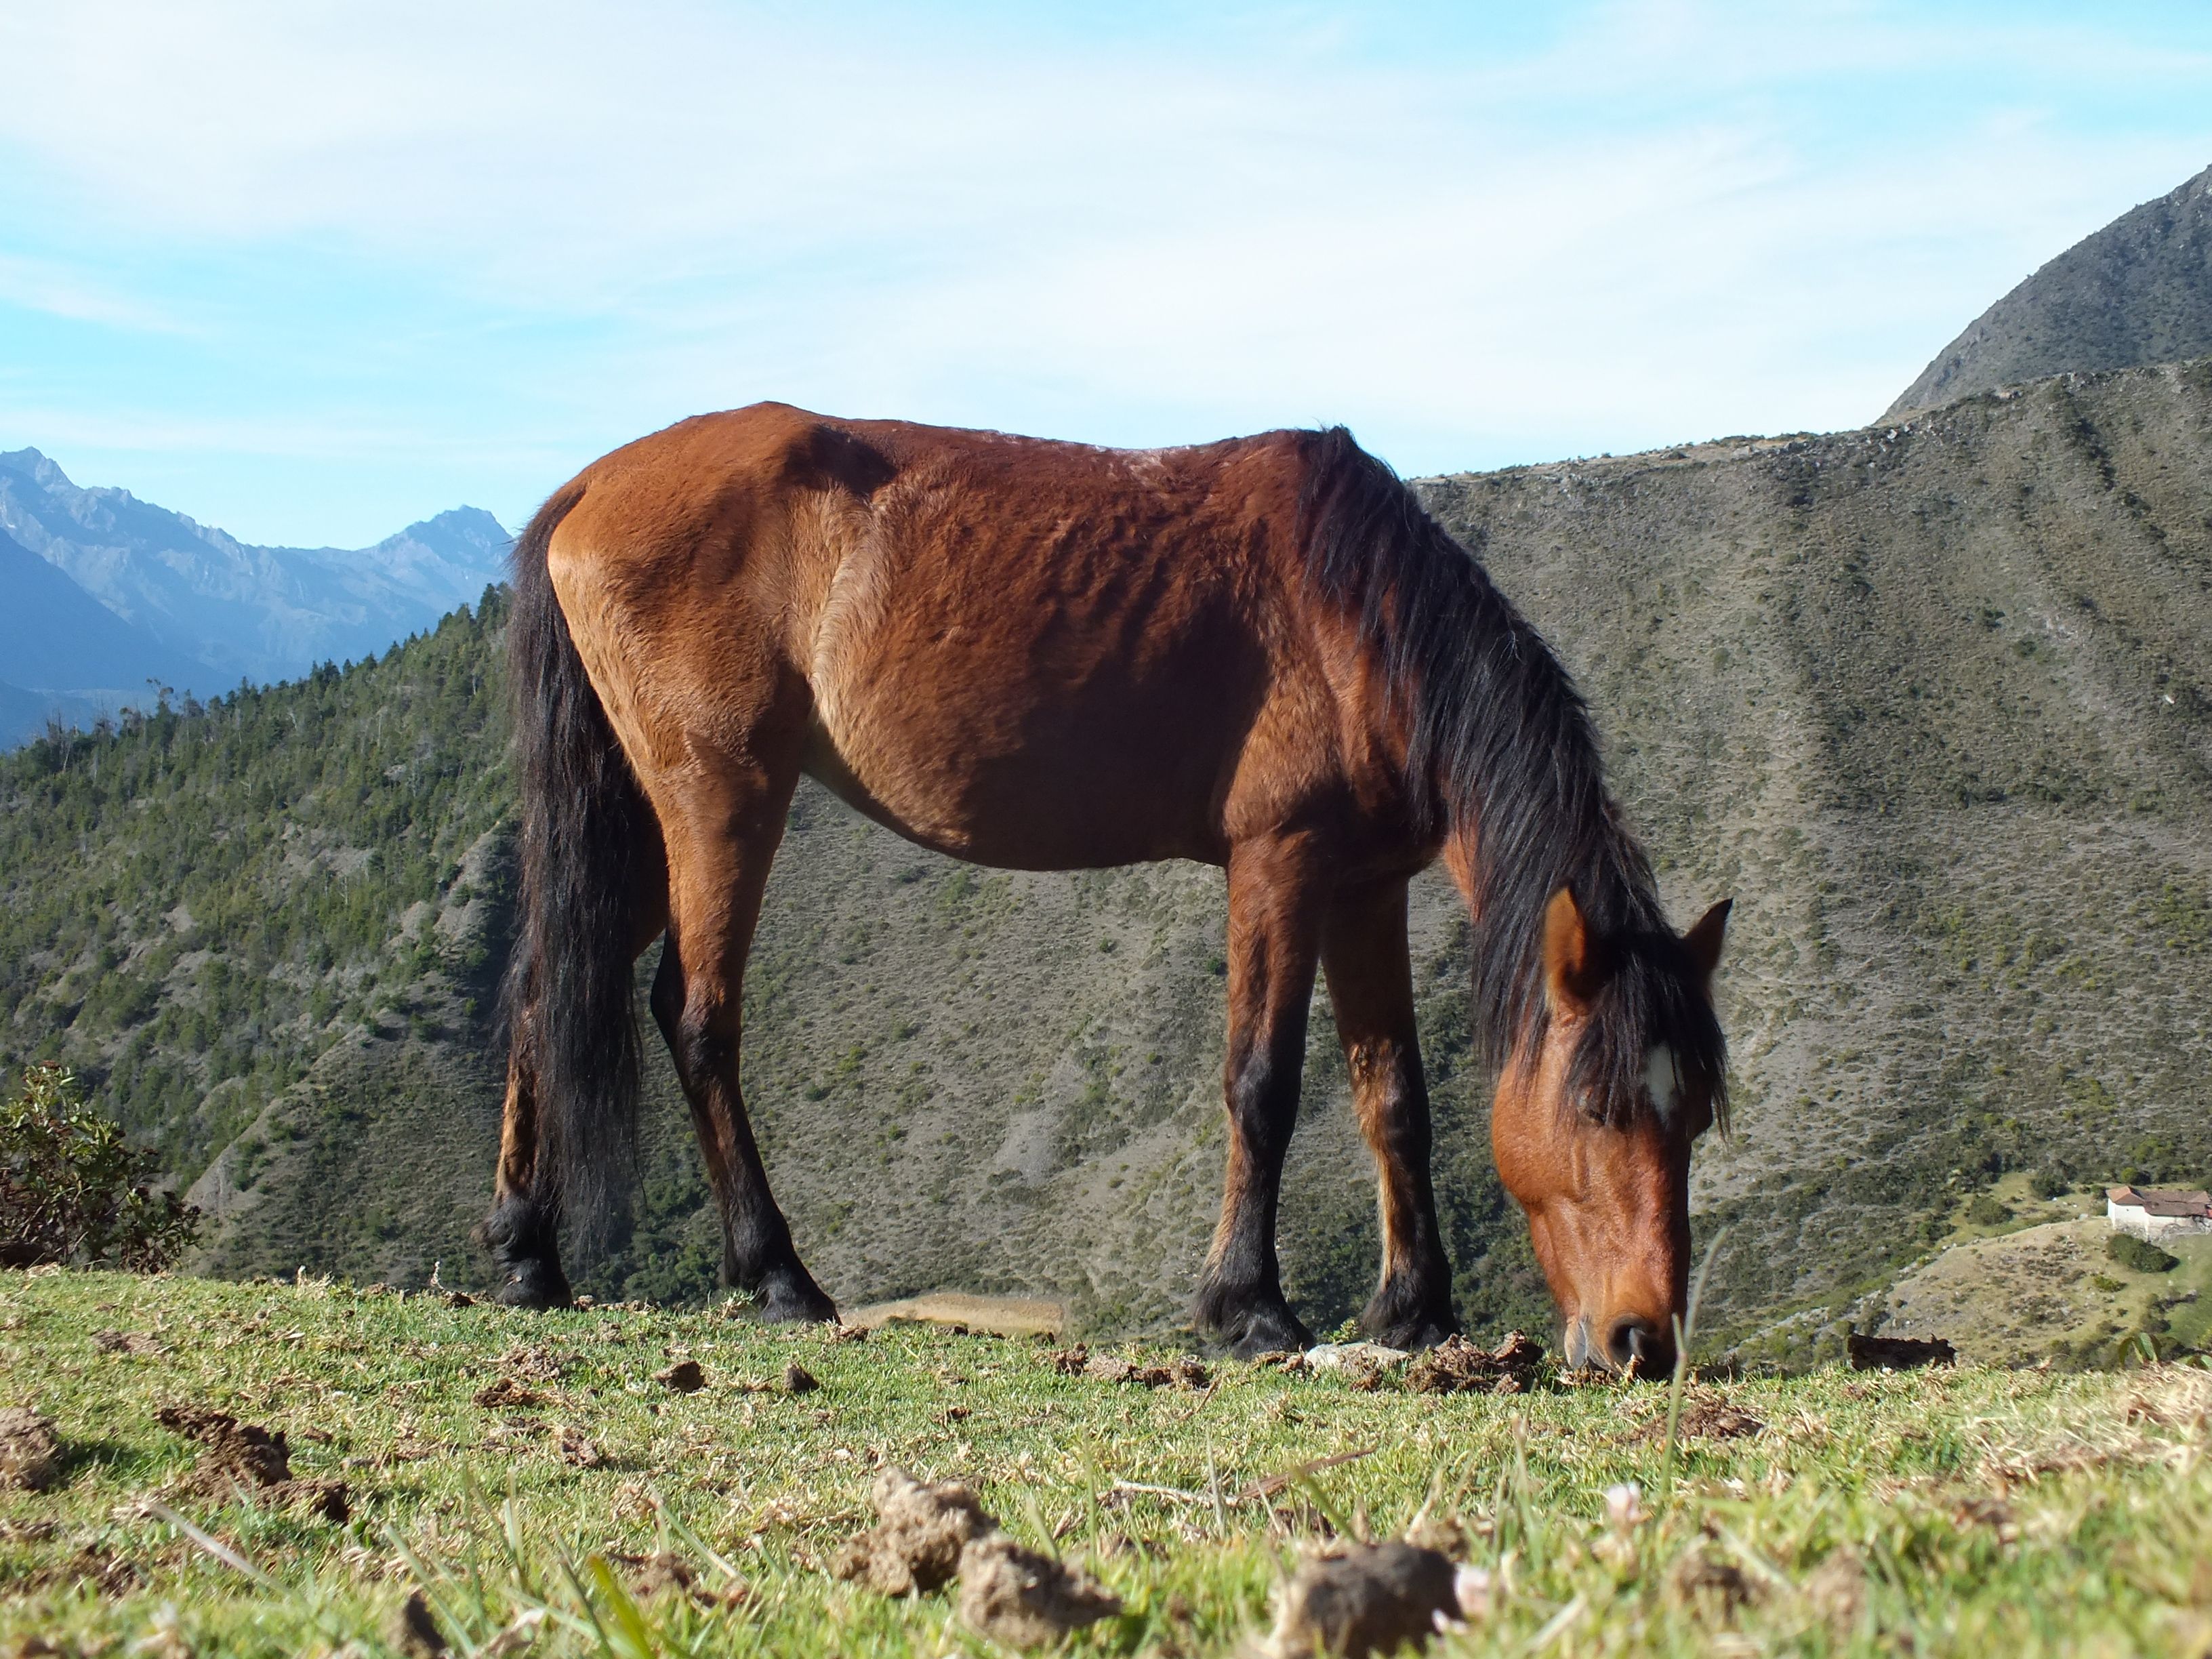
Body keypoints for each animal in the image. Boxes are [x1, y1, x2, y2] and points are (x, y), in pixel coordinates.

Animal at [477, 404, 1730, 1371]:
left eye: (1693, 1116)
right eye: (1595, 1109)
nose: (1642, 1343)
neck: (1361, 616)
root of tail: (592, 484)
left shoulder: (1366, 887)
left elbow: (1395, 1103)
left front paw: (1411, 1310)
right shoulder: (1279, 862)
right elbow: (1262, 1083)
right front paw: (1249, 1306)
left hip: (640, 819)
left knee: (547, 983)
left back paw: (527, 1252)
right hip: (719, 803)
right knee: (693, 1017)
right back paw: (778, 1274)